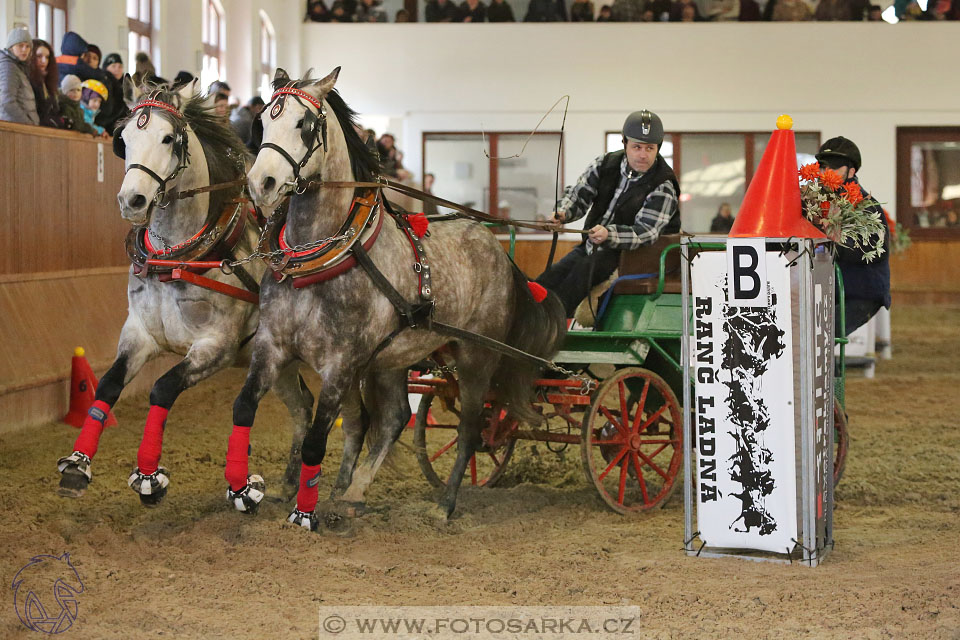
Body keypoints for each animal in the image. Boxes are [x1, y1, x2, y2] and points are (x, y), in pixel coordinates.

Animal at [57, 79, 312, 510]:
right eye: (124, 139)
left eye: (167, 139)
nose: (132, 201)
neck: (178, 256)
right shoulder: (140, 333)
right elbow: (107, 384)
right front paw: (77, 464)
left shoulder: (216, 347)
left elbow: (162, 388)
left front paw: (149, 477)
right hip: (279, 364)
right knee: (304, 408)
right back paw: (290, 484)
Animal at [223, 67, 568, 528]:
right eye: (262, 122)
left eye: (305, 124)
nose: (262, 184)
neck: (320, 258)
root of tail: (499, 250)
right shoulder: (273, 346)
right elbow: (244, 408)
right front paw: (242, 489)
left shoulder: (340, 362)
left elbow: (316, 438)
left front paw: (305, 514)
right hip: (394, 356)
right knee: (396, 418)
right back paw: (352, 491)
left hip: (475, 357)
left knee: (469, 429)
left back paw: (444, 504)